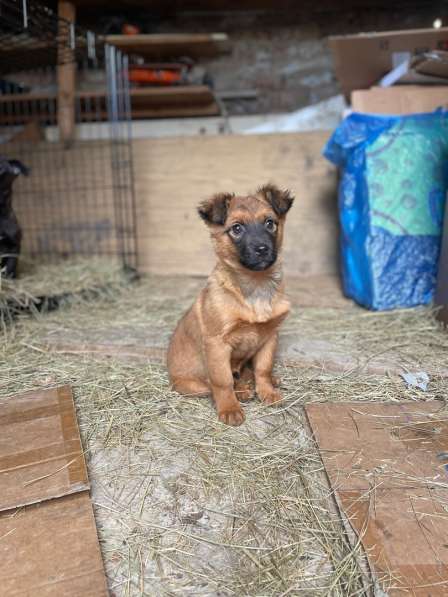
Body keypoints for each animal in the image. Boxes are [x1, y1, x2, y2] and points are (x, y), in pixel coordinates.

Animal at [166, 183, 292, 424]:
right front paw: (230, 408)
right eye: (236, 228)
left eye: (270, 223)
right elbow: (222, 380)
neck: (255, 284)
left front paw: (267, 392)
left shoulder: (270, 336)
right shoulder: (217, 344)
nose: (262, 249)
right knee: (220, 381)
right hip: (194, 385)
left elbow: (263, 368)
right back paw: (241, 391)